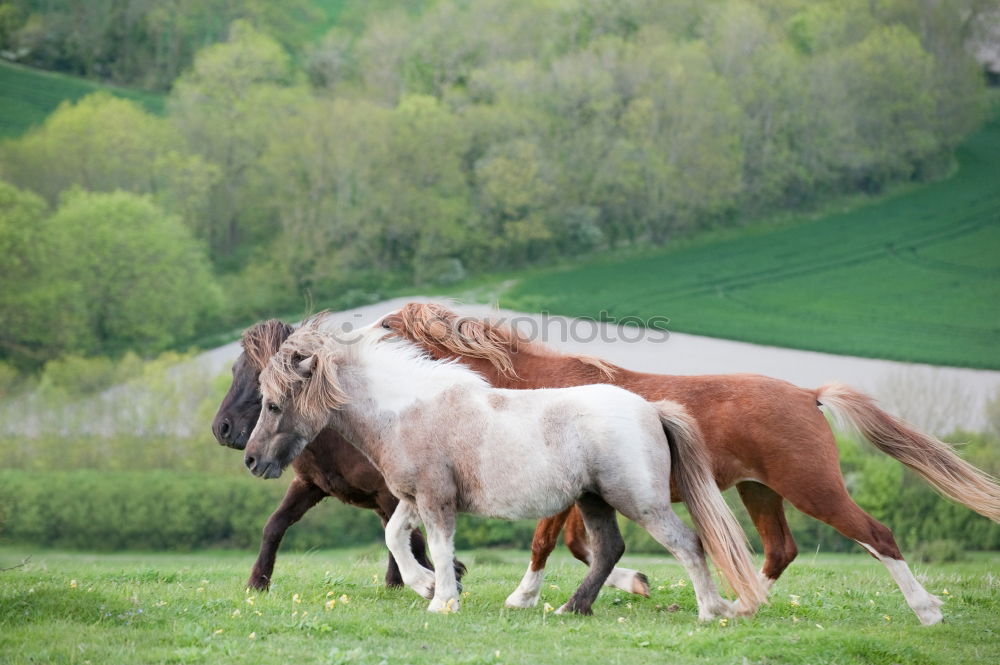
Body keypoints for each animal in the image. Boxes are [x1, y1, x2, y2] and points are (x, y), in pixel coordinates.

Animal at [213, 320, 466, 588]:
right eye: (235, 369)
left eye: (260, 378)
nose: (221, 428)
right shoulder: (310, 485)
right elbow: (274, 526)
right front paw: (257, 583)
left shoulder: (390, 495)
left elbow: (411, 539)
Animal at [244, 314, 764, 616]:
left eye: (272, 404)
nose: (251, 460)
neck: (406, 411)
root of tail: (651, 410)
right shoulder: (413, 497)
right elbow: (396, 537)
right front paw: (427, 587)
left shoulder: (435, 499)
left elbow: (438, 544)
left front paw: (443, 600)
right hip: (594, 500)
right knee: (609, 550)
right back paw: (571, 608)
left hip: (640, 501)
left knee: (688, 544)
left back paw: (712, 610)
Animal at [378, 300, 1000, 624]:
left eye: (386, 329)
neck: (526, 389)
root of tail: (809, 394)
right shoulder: (582, 493)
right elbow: (578, 545)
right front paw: (631, 585)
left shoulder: (556, 488)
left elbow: (545, 542)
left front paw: (522, 597)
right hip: (758, 490)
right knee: (781, 549)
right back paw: (742, 605)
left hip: (811, 486)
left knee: (877, 535)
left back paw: (926, 611)